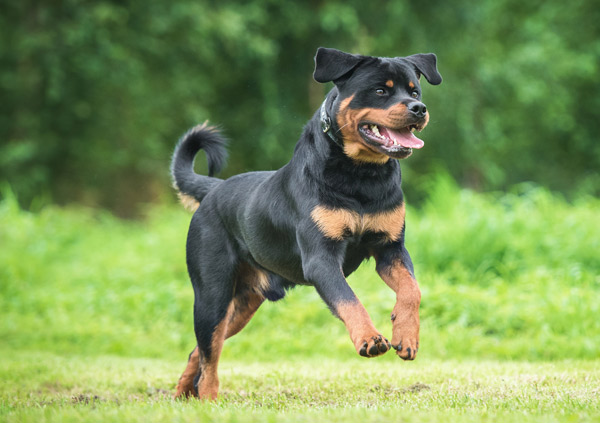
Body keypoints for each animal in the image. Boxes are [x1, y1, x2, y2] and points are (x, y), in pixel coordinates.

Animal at [171, 47, 442, 400]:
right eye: (380, 91)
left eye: (415, 92)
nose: (418, 109)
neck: (361, 176)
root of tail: (214, 189)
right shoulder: (321, 259)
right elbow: (348, 299)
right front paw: (369, 338)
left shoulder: (390, 249)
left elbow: (412, 290)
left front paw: (406, 336)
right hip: (212, 295)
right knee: (209, 354)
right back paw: (208, 400)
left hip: (242, 305)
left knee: (201, 350)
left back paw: (181, 393)